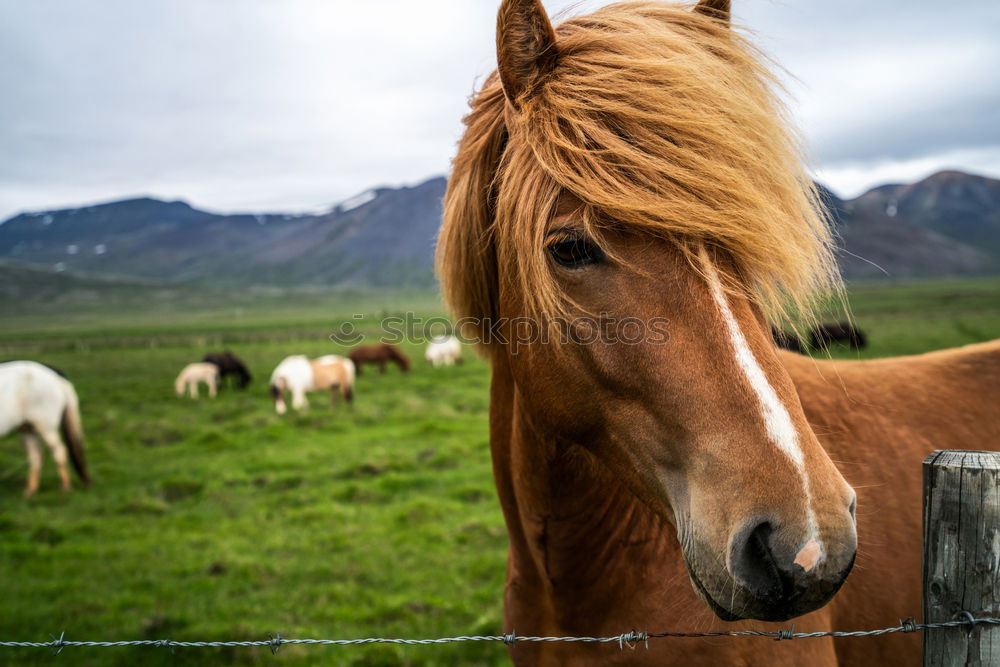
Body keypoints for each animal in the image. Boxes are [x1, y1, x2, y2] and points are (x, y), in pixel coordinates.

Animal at [0, 360, 91, 496]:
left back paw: (65, 488)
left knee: (59, 451)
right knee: (36, 457)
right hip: (28, 428)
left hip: (46, 426)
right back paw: (30, 492)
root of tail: (54, 375)